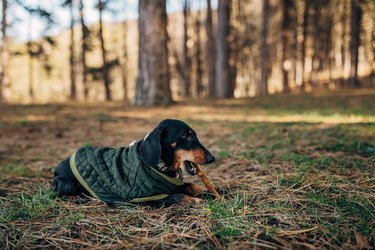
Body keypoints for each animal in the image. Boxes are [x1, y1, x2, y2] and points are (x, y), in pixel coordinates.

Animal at [54, 119, 216, 205]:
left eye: (194, 135)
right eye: (186, 136)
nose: (212, 158)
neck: (159, 166)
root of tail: (57, 168)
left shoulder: (174, 184)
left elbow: (191, 186)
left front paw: (211, 192)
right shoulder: (149, 198)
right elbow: (179, 196)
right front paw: (200, 201)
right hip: (68, 185)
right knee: (57, 193)